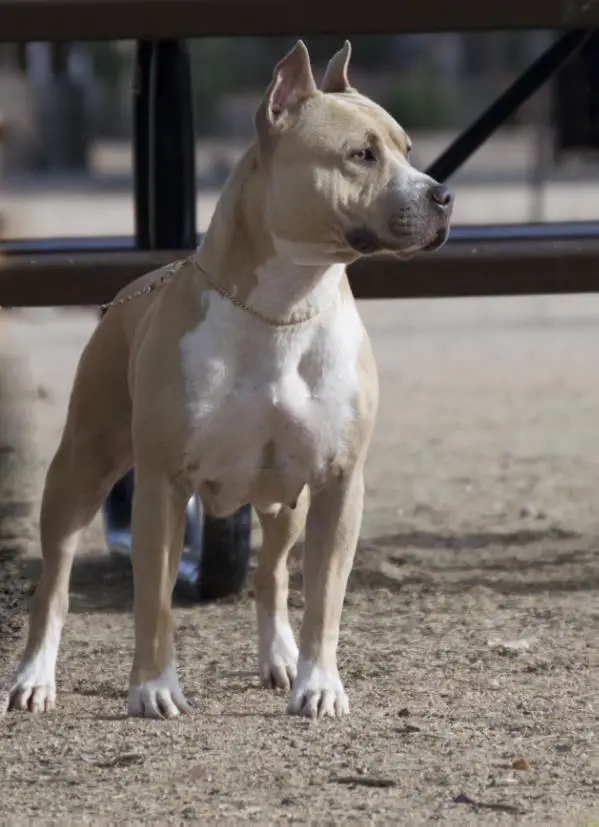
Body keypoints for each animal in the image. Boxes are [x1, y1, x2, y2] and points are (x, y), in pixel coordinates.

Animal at [3, 42, 454, 720]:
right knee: (55, 582)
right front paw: (153, 688)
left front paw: (319, 685)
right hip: (79, 471)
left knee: (271, 575)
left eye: (409, 149)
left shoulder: (338, 483)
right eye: (361, 155)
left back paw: (280, 658)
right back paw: (35, 676)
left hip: (283, 500)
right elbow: (153, 602)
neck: (286, 306)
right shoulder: (161, 486)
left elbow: (324, 597)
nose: (443, 195)